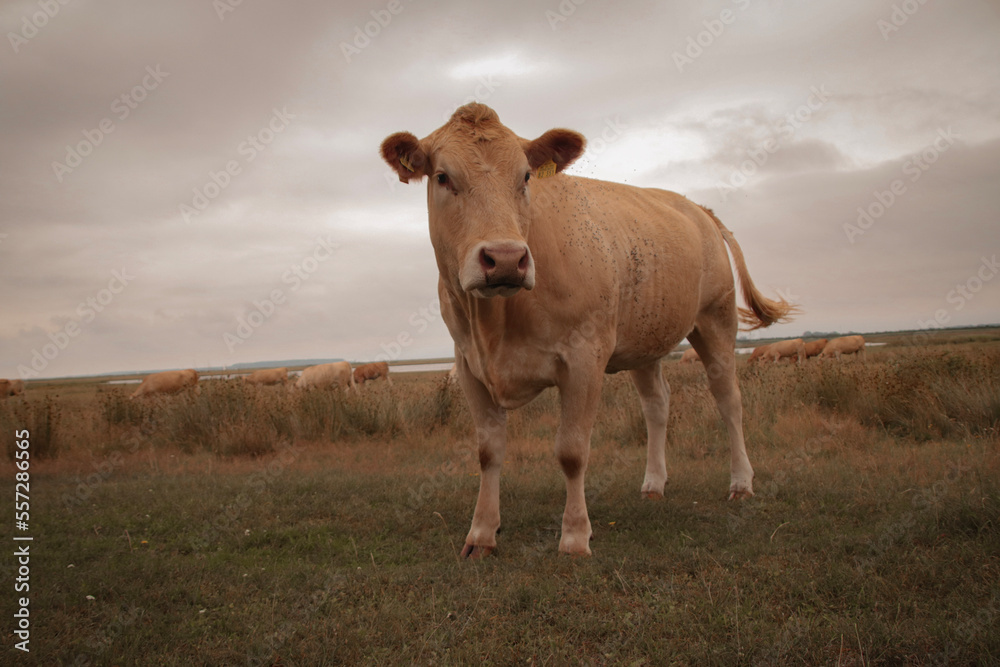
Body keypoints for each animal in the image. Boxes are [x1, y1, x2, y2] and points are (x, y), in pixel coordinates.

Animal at [380, 103, 796, 557]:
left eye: (525, 177)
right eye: (442, 177)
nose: (505, 258)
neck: (496, 322)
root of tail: (696, 207)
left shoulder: (584, 358)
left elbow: (572, 451)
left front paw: (576, 535)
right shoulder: (468, 362)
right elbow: (488, 451)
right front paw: (482, 534)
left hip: (715, 320)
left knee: (728, 400)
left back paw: (741, 483)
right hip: (645, 340)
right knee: (657, 404)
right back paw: (654, 483)